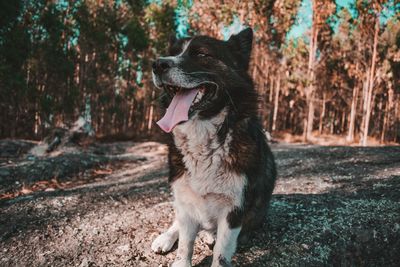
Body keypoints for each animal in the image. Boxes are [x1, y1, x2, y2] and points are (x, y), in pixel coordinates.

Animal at [150, 28, 276, 266]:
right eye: (172, 52)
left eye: (201, 54)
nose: (157, 64)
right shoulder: (186, 199)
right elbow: (185, 244)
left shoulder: (234, 209)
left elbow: (221, 251)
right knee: (177, 222)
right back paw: (166, 237)